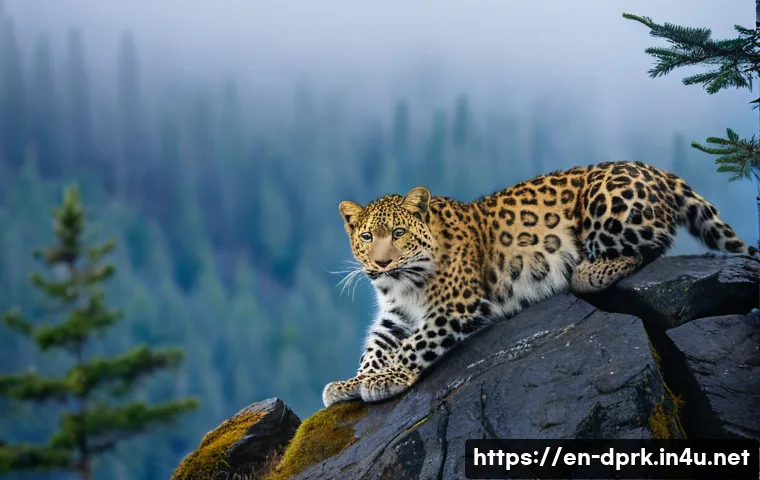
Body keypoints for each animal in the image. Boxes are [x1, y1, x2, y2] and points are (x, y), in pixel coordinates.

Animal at [322, 160, 760, 408]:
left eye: (398, 233)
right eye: (366, 237)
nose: (380, 263)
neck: (404, 284)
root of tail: (656, 169)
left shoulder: (458, 305)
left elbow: (414, 345)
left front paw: (385, 379)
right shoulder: (394, 316)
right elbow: (375, 347)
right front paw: (352, 382)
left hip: (604, 199)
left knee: (654, 243)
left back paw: (588, 271)